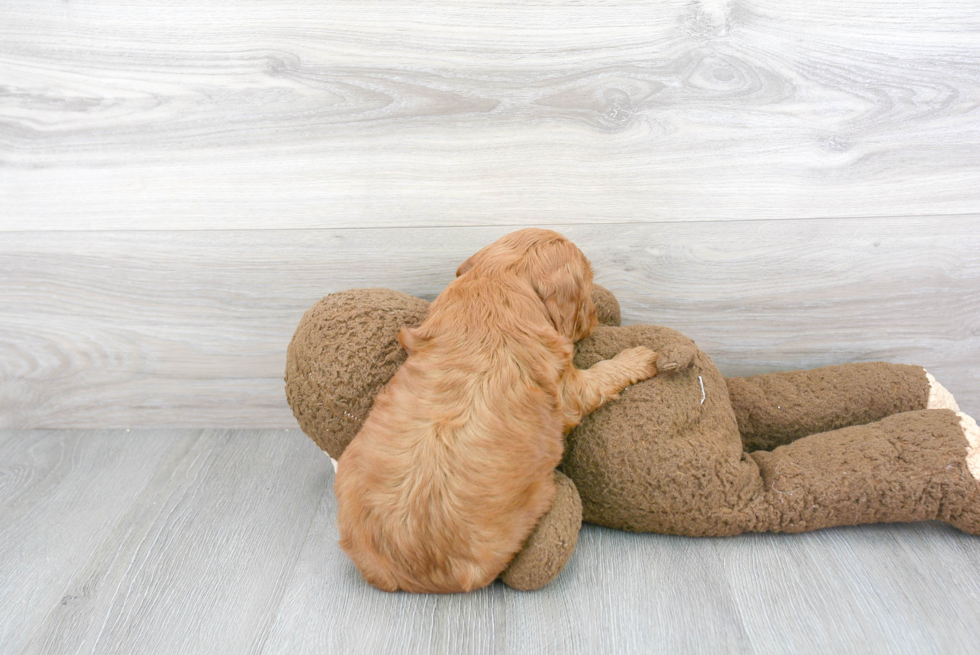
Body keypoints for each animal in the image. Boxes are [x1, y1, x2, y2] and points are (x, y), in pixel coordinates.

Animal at [332, 228, 660, 592]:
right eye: (587, 289)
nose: (594, 318)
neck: (499, 281)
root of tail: (411, 570)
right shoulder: (569, 389)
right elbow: (602, 376)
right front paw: (641, 357)